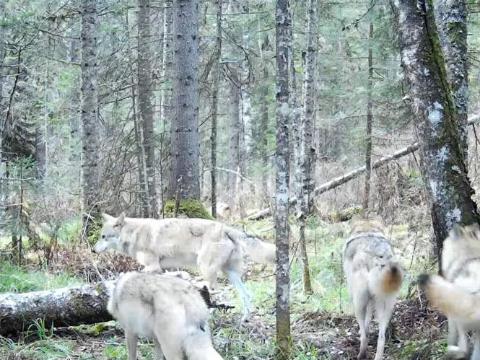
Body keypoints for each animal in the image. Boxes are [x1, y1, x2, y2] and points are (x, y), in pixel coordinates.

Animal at [94, 212, 276, 320]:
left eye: (103, 237)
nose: (93, 250)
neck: (134, 234)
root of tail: (226, 227)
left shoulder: (152, 266)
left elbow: (130, 274)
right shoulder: (158, 269)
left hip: (206, 268)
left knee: (213, 291)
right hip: (229, 273)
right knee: (246, 295)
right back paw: (244, 319)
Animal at [344, 218, 404, 358]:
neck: (367, 228)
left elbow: (365, 324)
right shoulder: (372, 299)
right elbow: (369, 318)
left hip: (358, 304)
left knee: (364, 336)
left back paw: (361, 354)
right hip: (386, 307)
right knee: (381, 337)